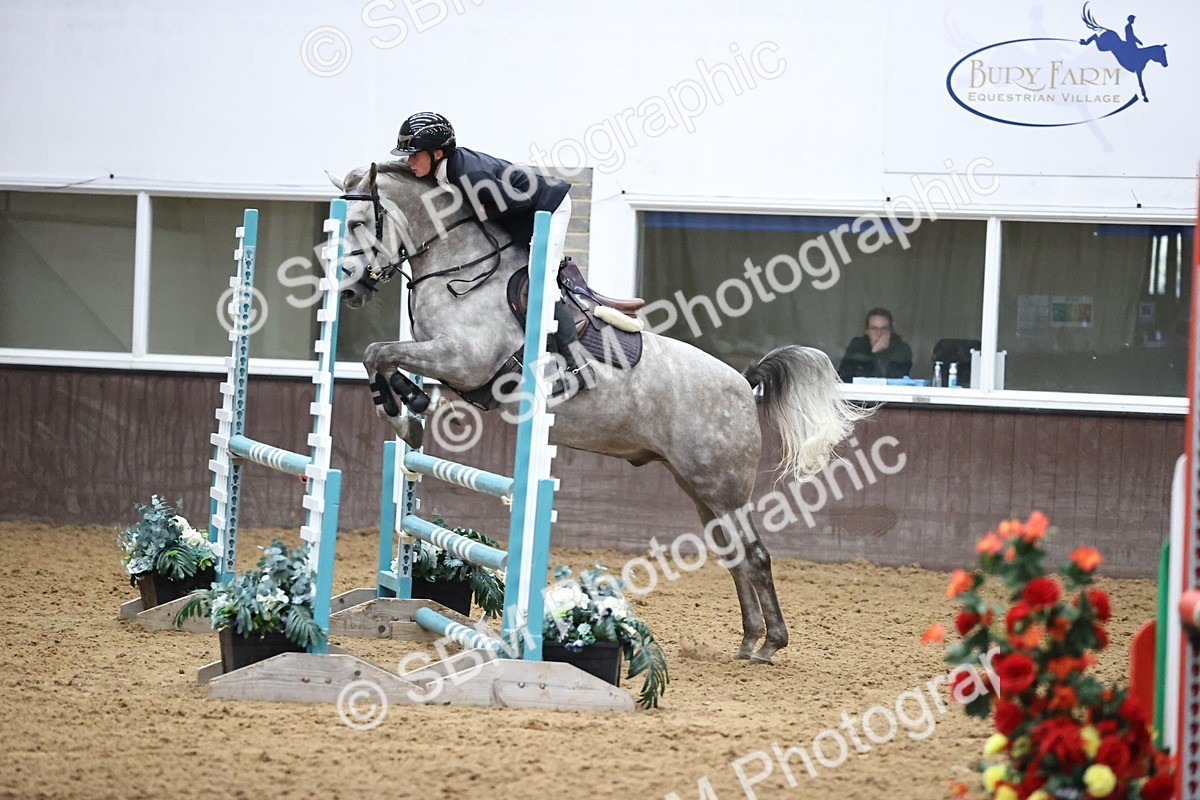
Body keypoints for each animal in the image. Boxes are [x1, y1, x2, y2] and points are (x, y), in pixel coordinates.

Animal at [328, 161, 868, 664]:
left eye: (358, 222)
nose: (348, 289)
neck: (460, 270)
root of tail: (743, 381)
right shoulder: (446, 363)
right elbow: (382, 357)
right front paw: (411, 407)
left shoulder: (464, 360)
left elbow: (378, 352)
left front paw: (405, 417)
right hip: (697, 487)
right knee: (734, 554)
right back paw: (749, 639)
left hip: (722, 486)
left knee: (755, 554)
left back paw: (770, 642)